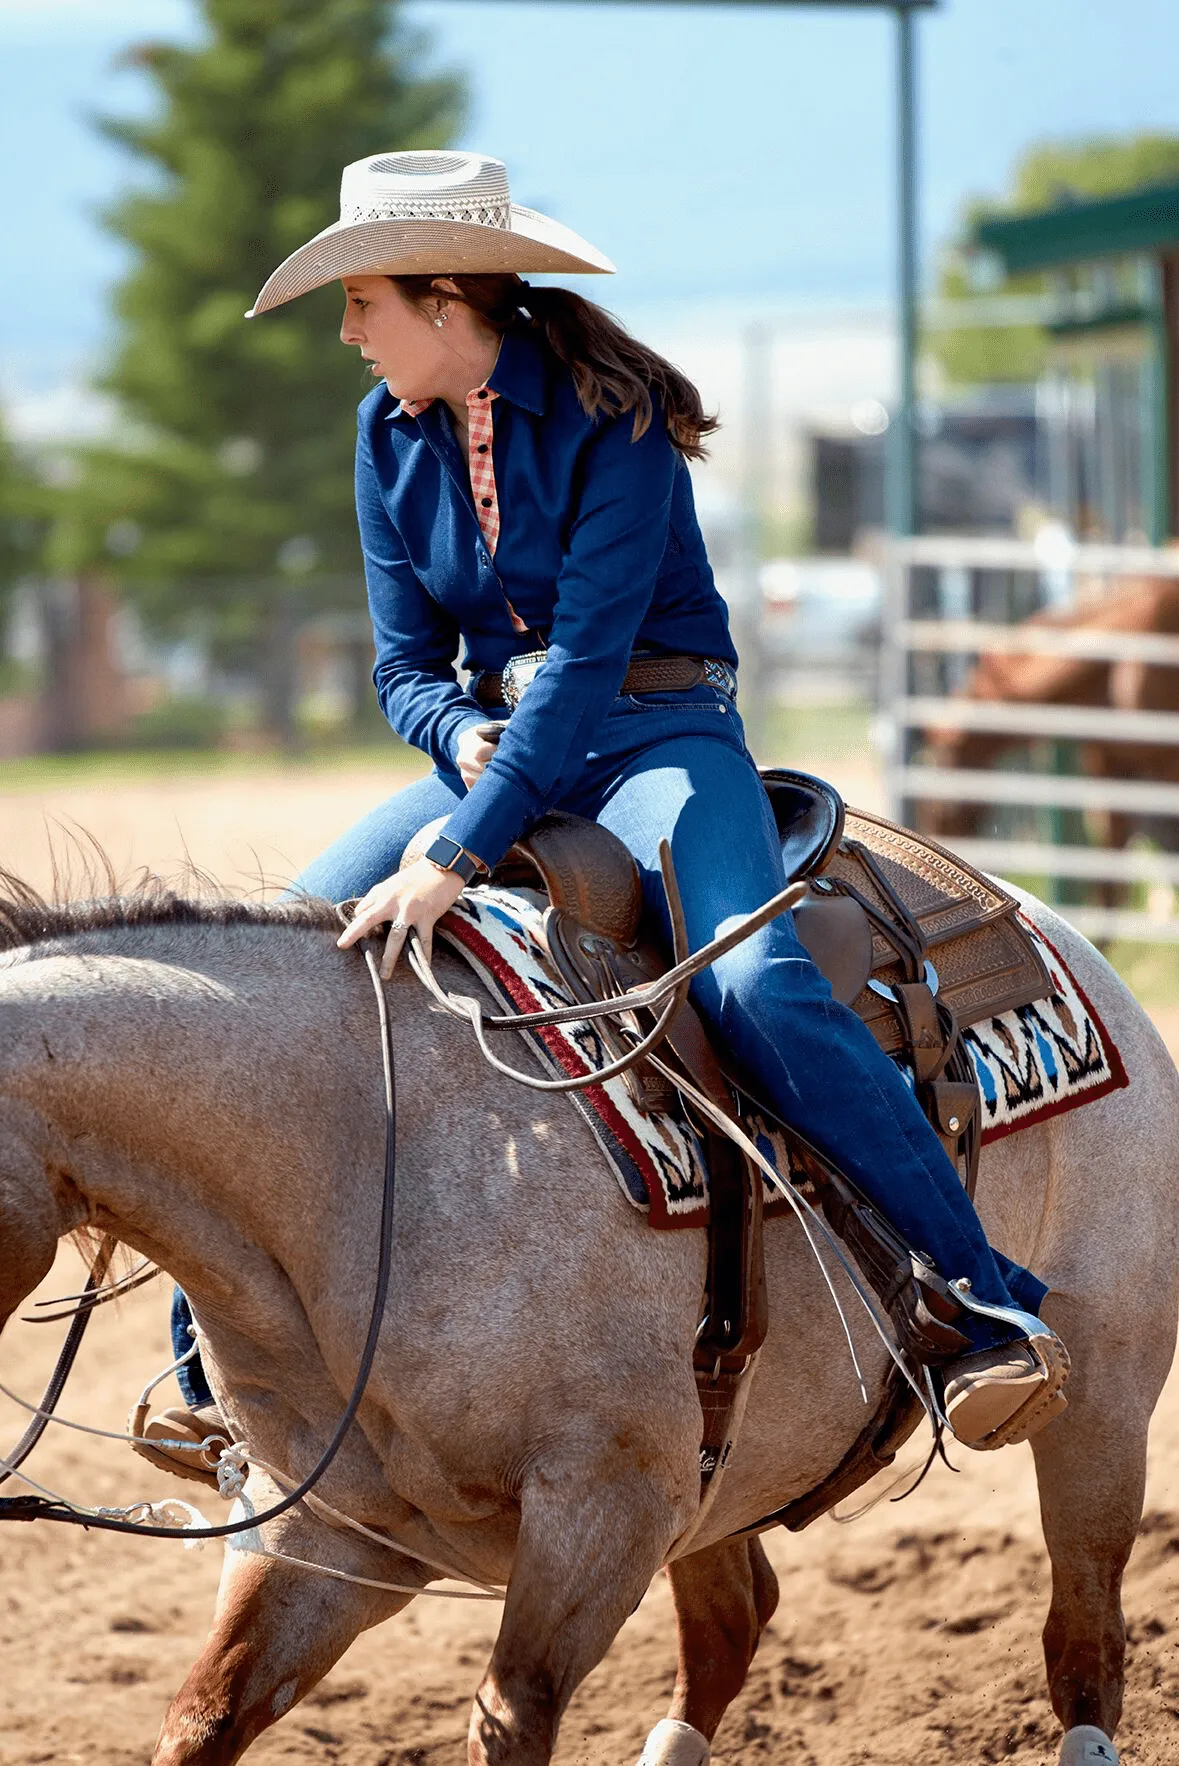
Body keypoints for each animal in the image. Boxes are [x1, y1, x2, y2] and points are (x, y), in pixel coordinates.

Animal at [0, 872, 1171, 1766]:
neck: (361, 1167)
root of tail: (1058, 935)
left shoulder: (599, 1515)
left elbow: (508, 1721)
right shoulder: (326, 1535)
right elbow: (203, 1716)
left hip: (1101, 1409)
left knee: (1083, 1642)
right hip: (722, 1476)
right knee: (731, 1625)